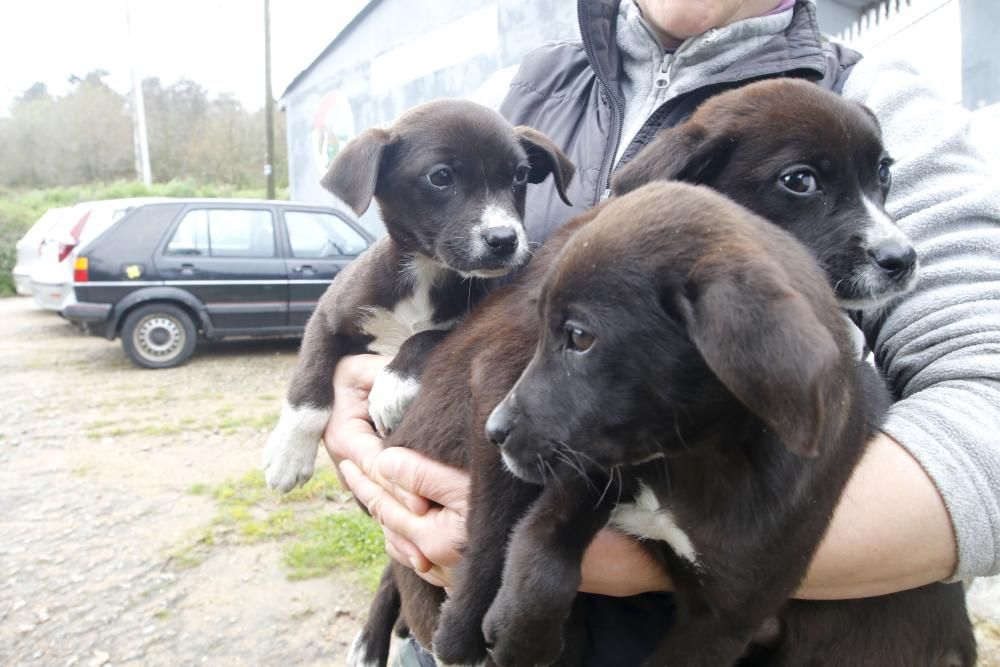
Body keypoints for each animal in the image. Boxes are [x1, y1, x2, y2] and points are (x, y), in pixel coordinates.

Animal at [258, 100, 576, 496]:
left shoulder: (472, 322)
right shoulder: (326, 315)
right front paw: (288, 454)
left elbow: (426, 336)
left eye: (519, 175)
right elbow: (309, 381)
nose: (504, 239)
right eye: (440, 176)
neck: (425, 272)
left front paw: (392, 386)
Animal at [480, 181, 972, 667]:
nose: (495, 432)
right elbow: (543, 538)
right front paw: (520, 634)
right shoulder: (599, 466)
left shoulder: (726, 619)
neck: (688, 461)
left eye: (580, 337)